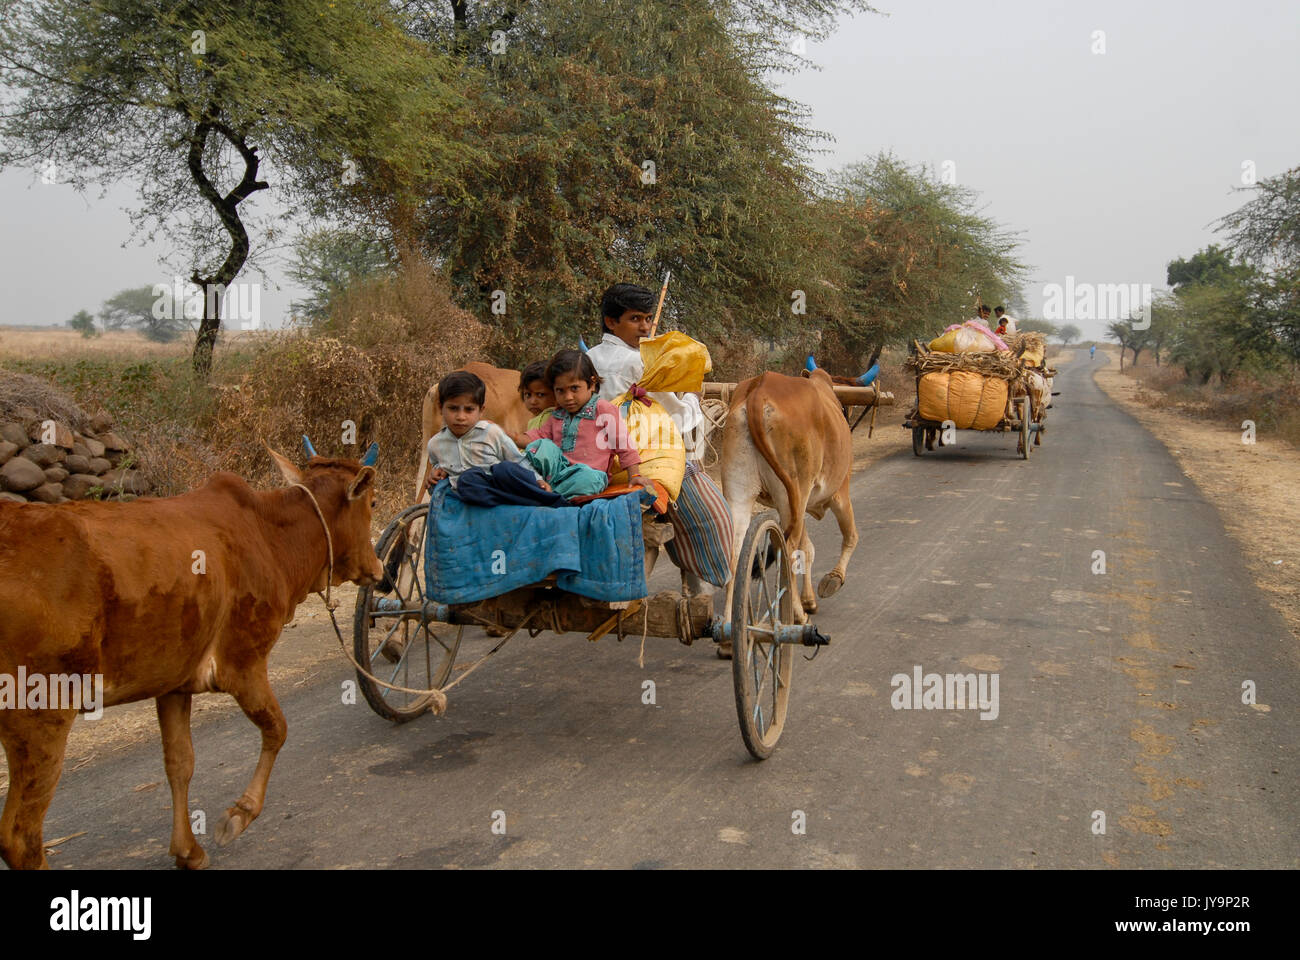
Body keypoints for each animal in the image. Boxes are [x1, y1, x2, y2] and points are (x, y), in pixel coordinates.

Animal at [0, 444, 382, 863]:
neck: (270, 537)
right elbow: (277, 730)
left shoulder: (174, 683)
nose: (379, 568)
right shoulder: (243, 663)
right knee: (20, 837)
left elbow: (180, 763)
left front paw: (188, 851)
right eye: (373, 502)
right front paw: (239, 814)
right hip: (40, 716)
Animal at [717, 369, 857, 640]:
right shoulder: (839, 493)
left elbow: (809, 549)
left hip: (742, 491)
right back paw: (797, 618)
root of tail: (759, 389)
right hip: (793, 492)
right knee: (788, 549)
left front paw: (809, 600)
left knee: (735, 553)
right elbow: (850, 536)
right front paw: (832, 581)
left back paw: (727, 632)